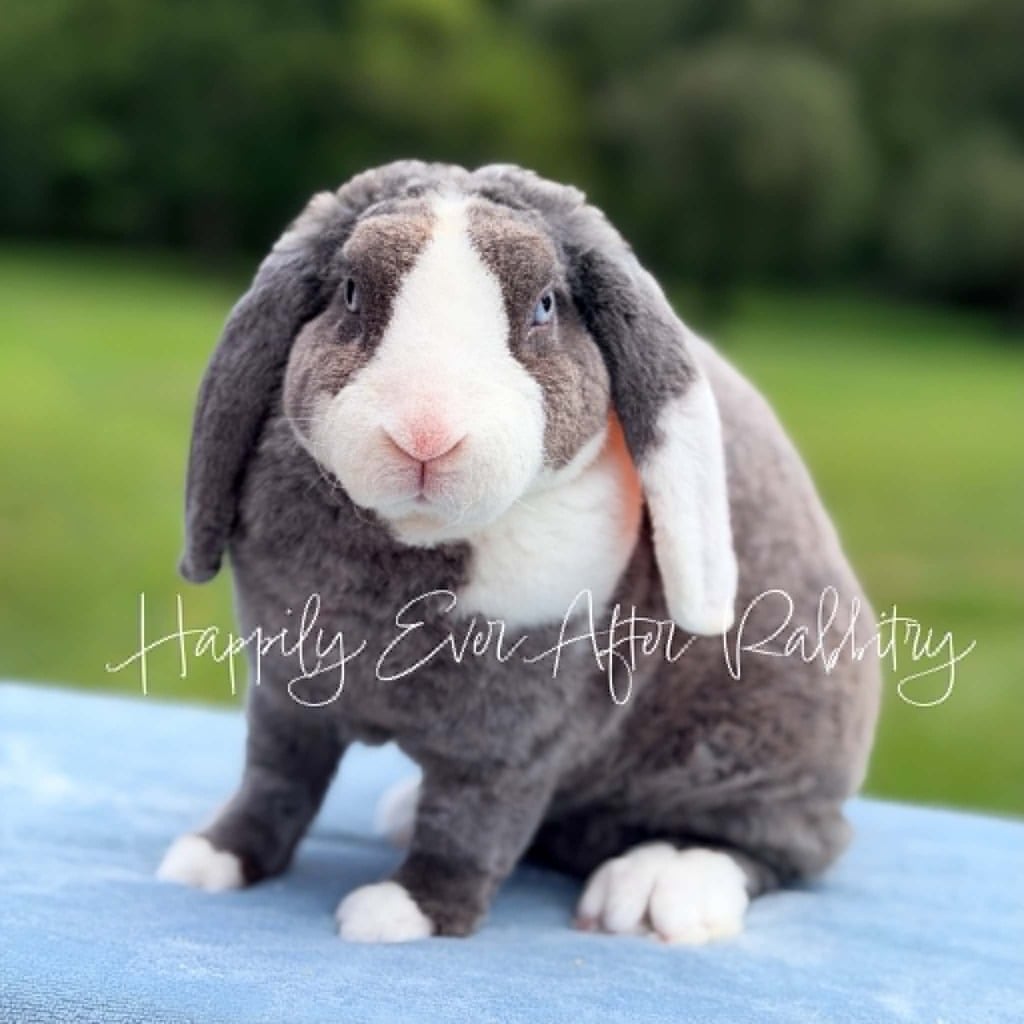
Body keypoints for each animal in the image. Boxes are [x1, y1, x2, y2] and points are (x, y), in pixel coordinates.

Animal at [157, 161, 881, 945]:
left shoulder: (514, 739)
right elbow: (273, 781)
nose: (426, 435)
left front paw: (403, 912)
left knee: (775, 847)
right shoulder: (286, 694)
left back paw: (656, 889)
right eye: (350, 292)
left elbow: (473, 825)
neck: (413, 550)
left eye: (543, 306)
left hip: (759, 753)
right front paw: (210, 859)